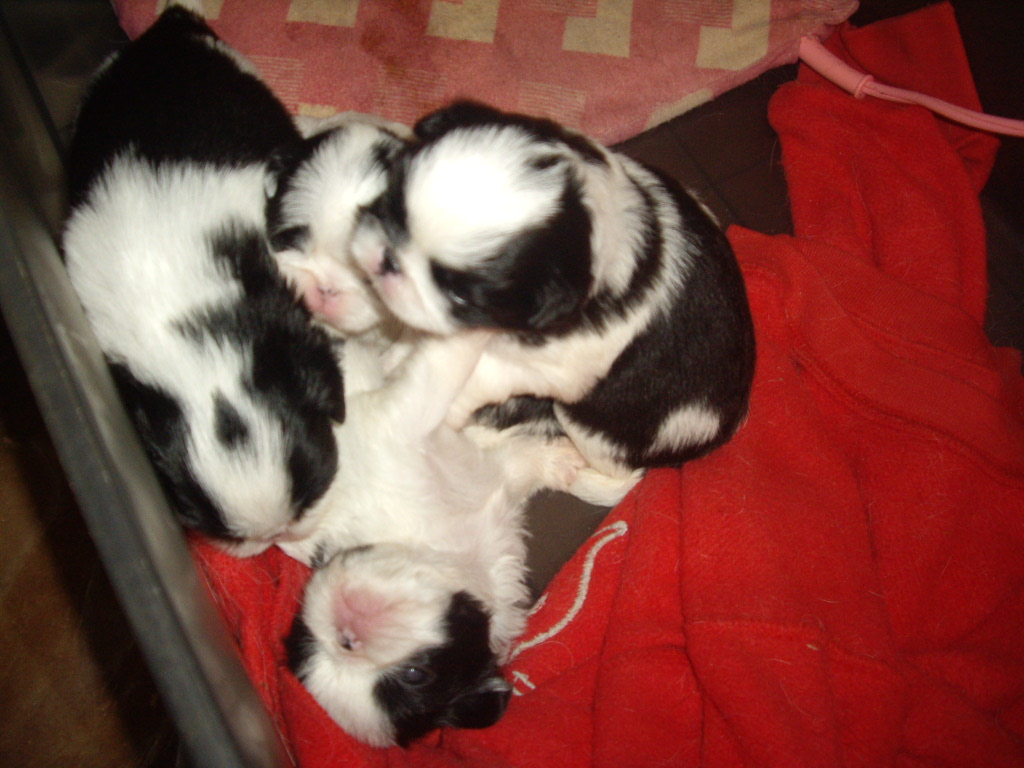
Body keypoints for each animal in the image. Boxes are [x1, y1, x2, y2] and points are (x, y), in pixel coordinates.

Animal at [282, 331, 585, 747]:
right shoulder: (406, 414)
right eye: (415, 674)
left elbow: (516, 464)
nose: (348, 637)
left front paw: (561, 462)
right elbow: (445, 365)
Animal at [349, 100, 756, 481]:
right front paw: (393, 360)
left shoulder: (539, 368)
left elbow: (468, 380)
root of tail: (725, 429)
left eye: (461, 296)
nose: (387, 260)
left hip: (590, 425)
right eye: (389, 203)